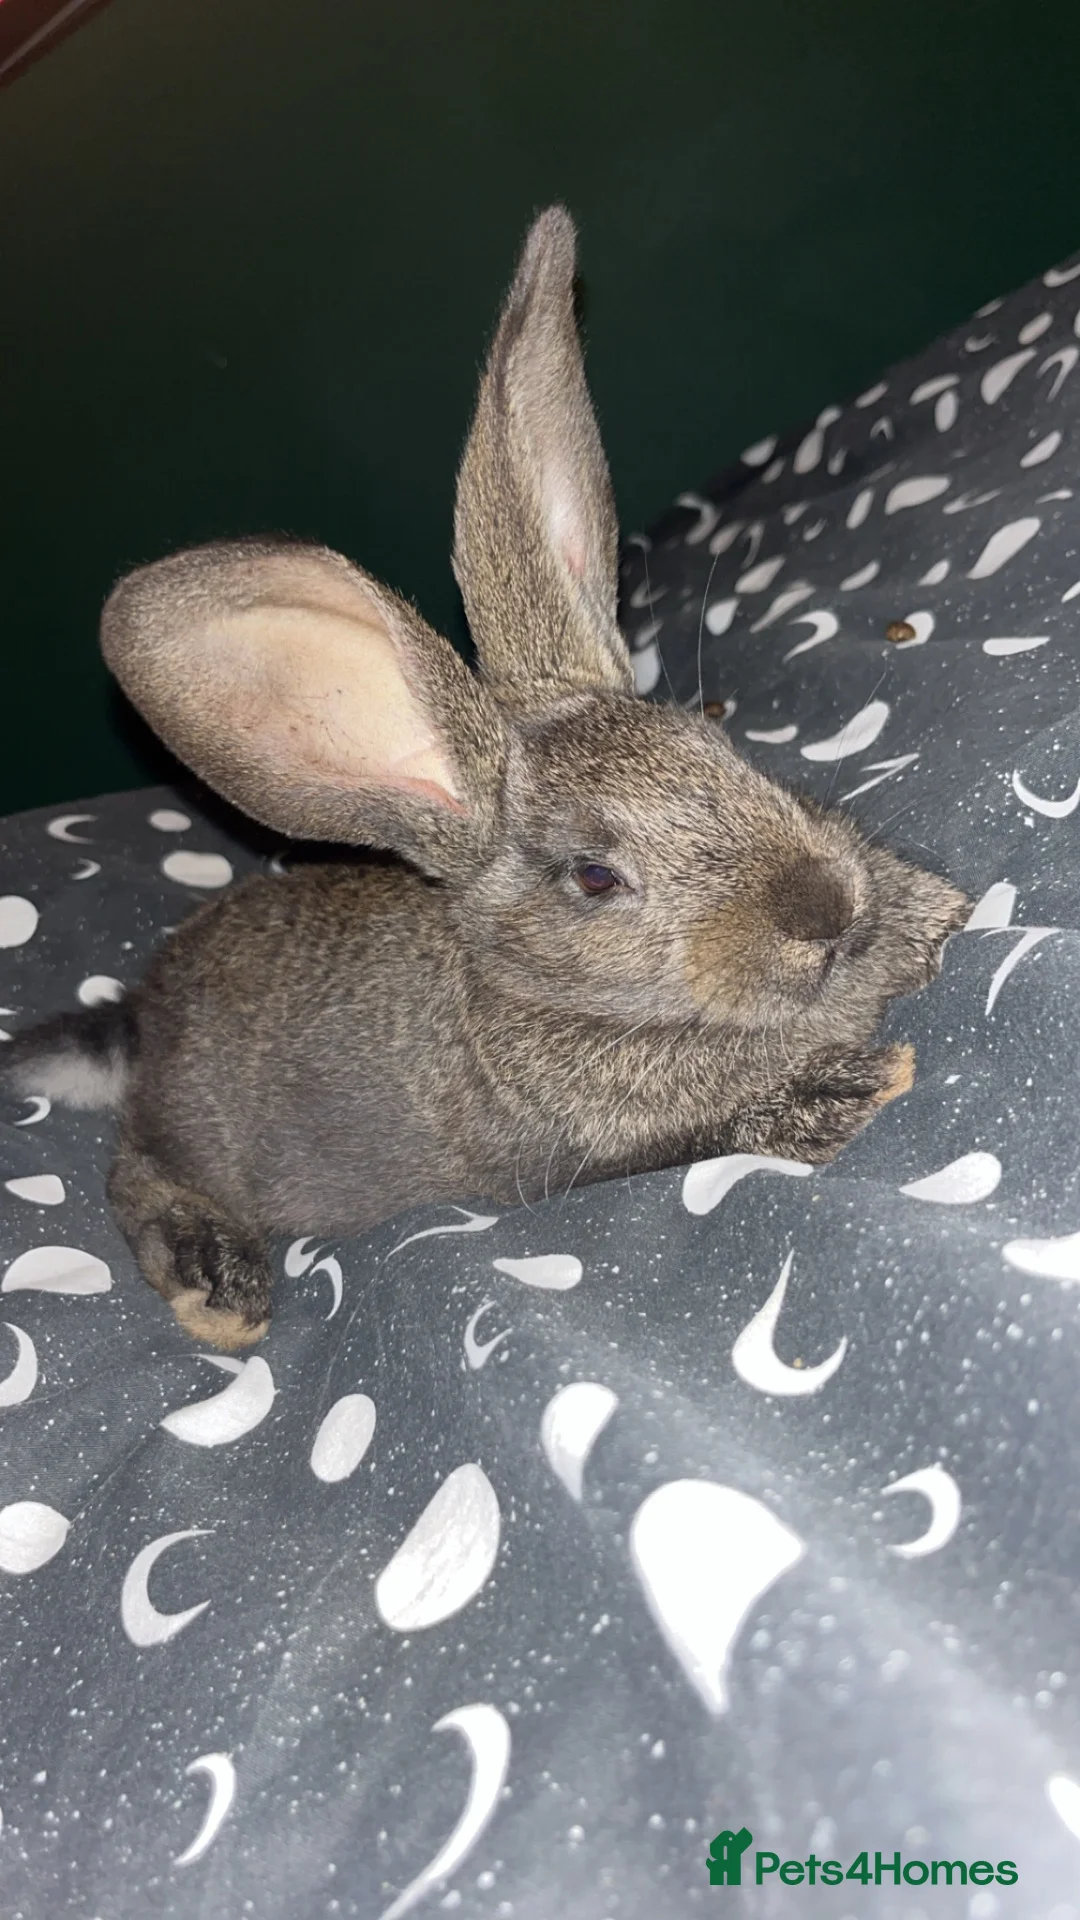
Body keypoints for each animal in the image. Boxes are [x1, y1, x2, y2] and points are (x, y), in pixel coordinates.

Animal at [3, 206, 970, 1349]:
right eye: (593, 876)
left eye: (719, 742)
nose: (824, 909)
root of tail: (142, 1021)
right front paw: (860, 1084)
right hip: (192, 1145)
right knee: (132, 1173)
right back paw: (218, 1292)